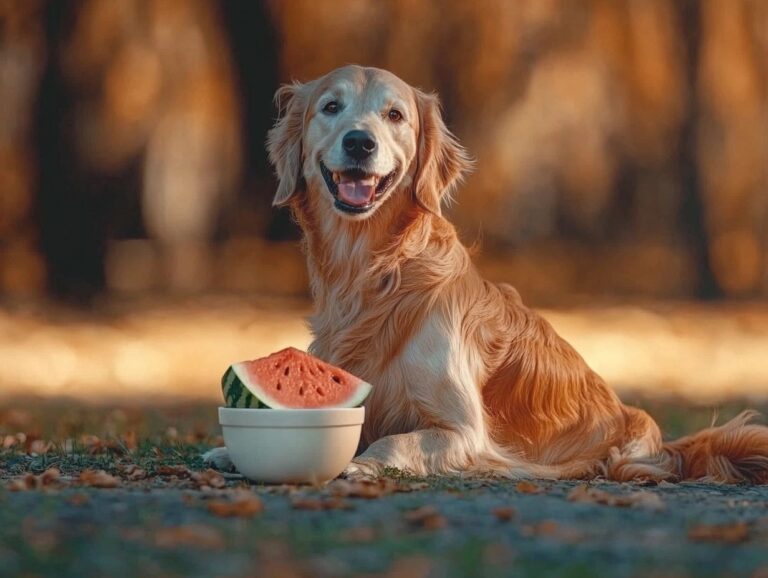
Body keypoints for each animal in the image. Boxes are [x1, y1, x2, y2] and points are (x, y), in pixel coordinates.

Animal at [206, 65, 768, 482]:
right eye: (330, 107)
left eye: (395, 115)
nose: (360, 142)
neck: (373, 271)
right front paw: (229, 450)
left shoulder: (462, 431)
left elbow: (398, 440)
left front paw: (364, 464)